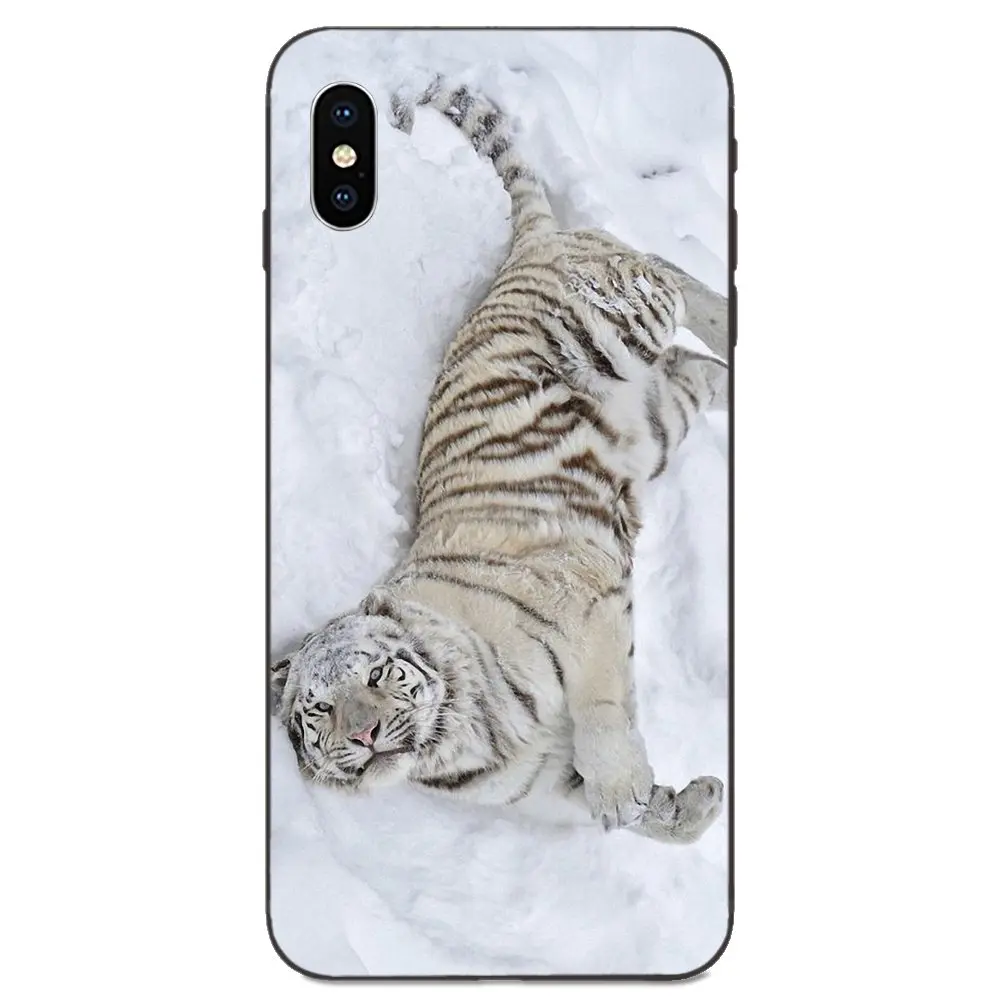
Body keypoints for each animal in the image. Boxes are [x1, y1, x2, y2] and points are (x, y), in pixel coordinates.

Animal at [271, 77, 729, 845]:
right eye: (320, 709)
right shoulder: (542, 785)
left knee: (659, 272)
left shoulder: (582, 601)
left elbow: (603, 711)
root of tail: (530, 242)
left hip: (618, 321)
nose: (364, 736)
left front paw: (622, 790)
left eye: (375, 678)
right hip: (663, 422)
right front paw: (687, 807)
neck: (461, 739)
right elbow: (646, 817)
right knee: (697, 365)